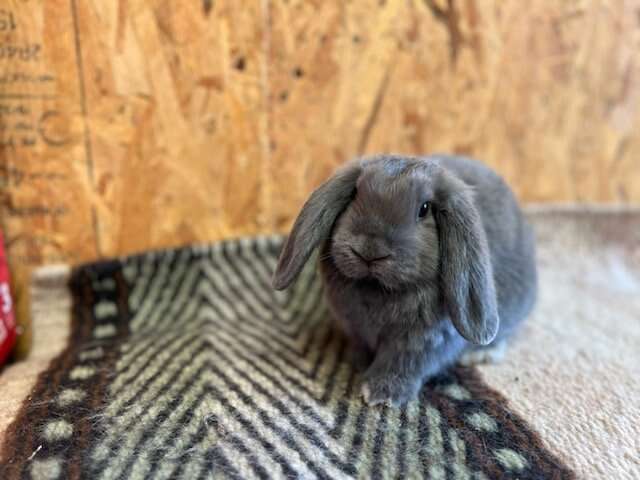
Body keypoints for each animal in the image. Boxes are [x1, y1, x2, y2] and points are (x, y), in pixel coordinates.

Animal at [270, 156, 536, 406]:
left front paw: (382, 394)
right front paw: (357, 365)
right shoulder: (355, 328)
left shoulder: (425, 339)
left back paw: (482, 354)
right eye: (354, 194)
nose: (369, 250)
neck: (377, 289)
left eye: (425, 208)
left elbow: (403, 363)